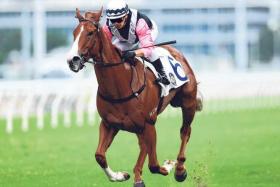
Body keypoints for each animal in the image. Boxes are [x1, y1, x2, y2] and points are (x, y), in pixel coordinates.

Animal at [66, 7, 201, 187]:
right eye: (74, 33)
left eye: (90, 33)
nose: (72, 60)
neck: (119, 87)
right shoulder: (109, 123)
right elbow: (99, 155)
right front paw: (120, 176)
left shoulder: (148, 123)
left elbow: (154, 164)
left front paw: (168, 165)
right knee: (143, 145)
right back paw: (139, 176)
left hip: (188, 102)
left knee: (185, 131)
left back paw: (179, 169)